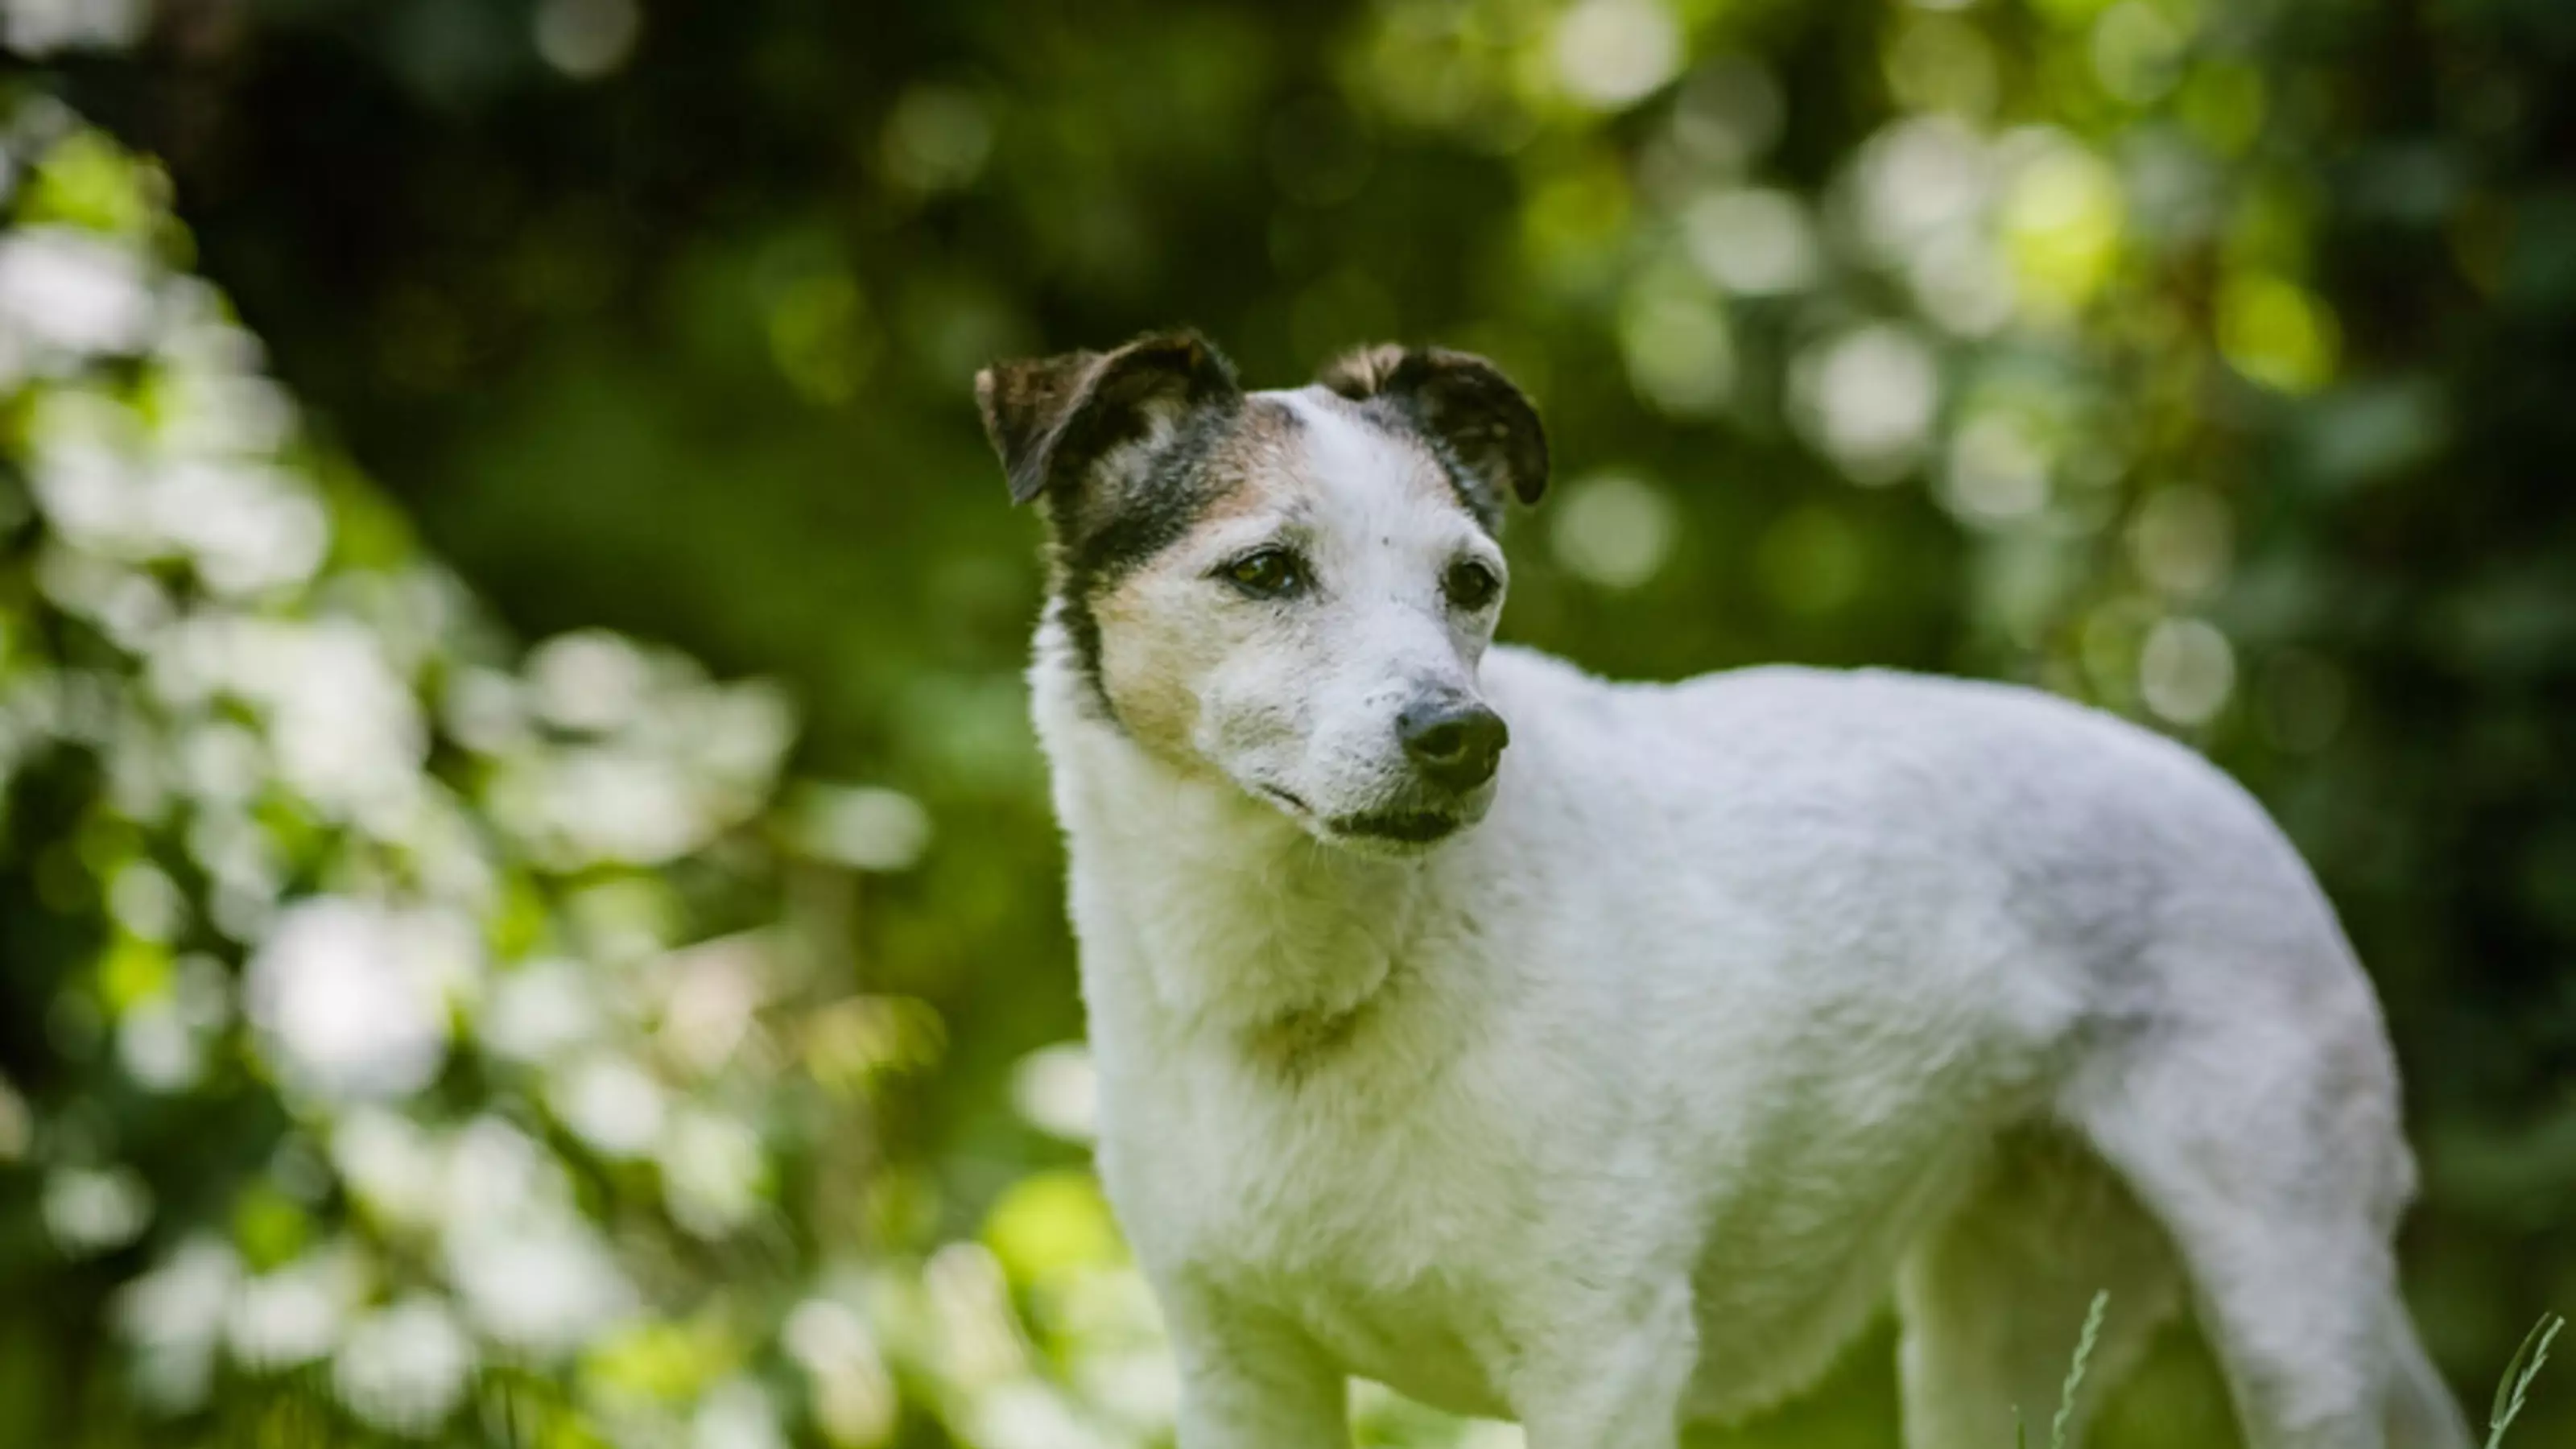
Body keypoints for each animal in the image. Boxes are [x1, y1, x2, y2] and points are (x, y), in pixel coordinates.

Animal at [973, 329, 2462, 1443]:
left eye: (1474, 582)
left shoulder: (1605, 1354)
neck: (1315, 988)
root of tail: (2229, 800)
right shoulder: (1239, 1361)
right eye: (1265, 571)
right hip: (2006, 1321)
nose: (1465, 739)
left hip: (2290, 1300)